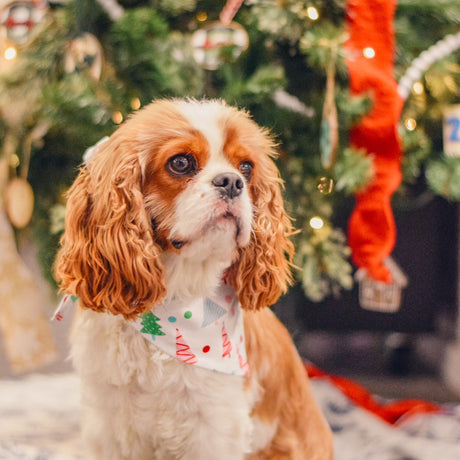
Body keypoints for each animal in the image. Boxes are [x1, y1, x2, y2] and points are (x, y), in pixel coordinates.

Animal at [55, 99, 332, 458]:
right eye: (181, 163)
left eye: (246, 167)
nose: (231, 182)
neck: (179, 297)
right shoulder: (109, 424)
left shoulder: (212, 427)